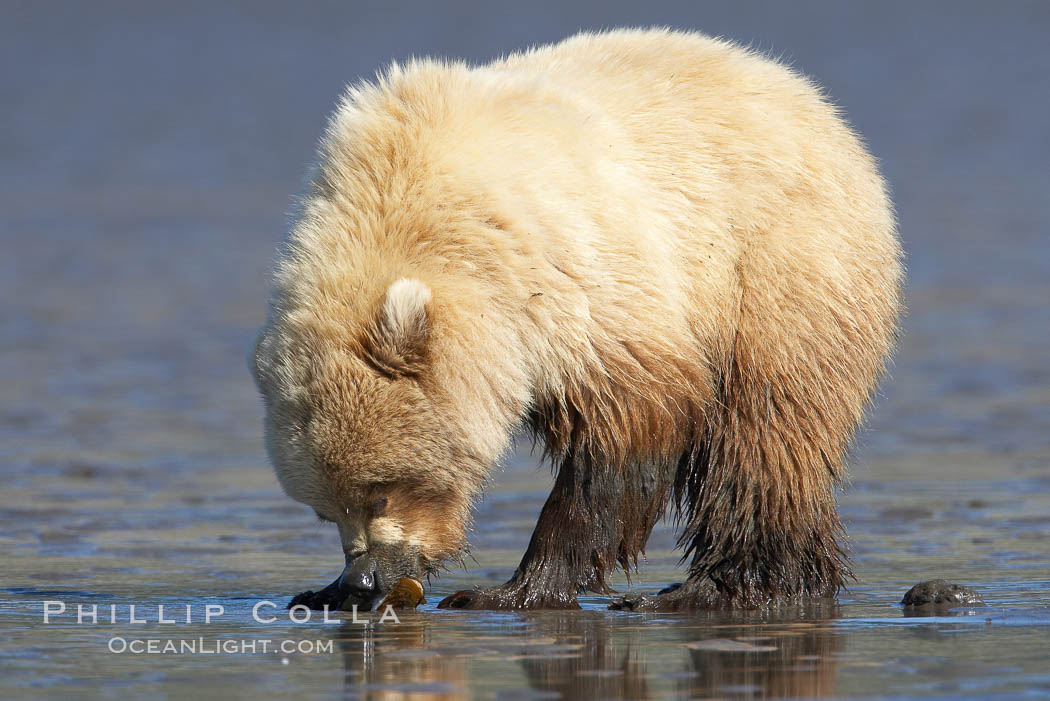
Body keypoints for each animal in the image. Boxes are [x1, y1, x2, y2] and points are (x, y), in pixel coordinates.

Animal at [249, 28, 898, 608]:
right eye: (325, 508)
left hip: (776, 269)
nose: (366, 577)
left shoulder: (576, 267)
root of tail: (817, 103)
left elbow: (630, 423)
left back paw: (725, 584)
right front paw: (322, 589)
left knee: (764, 431)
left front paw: (512, 588)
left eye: (382, 492)